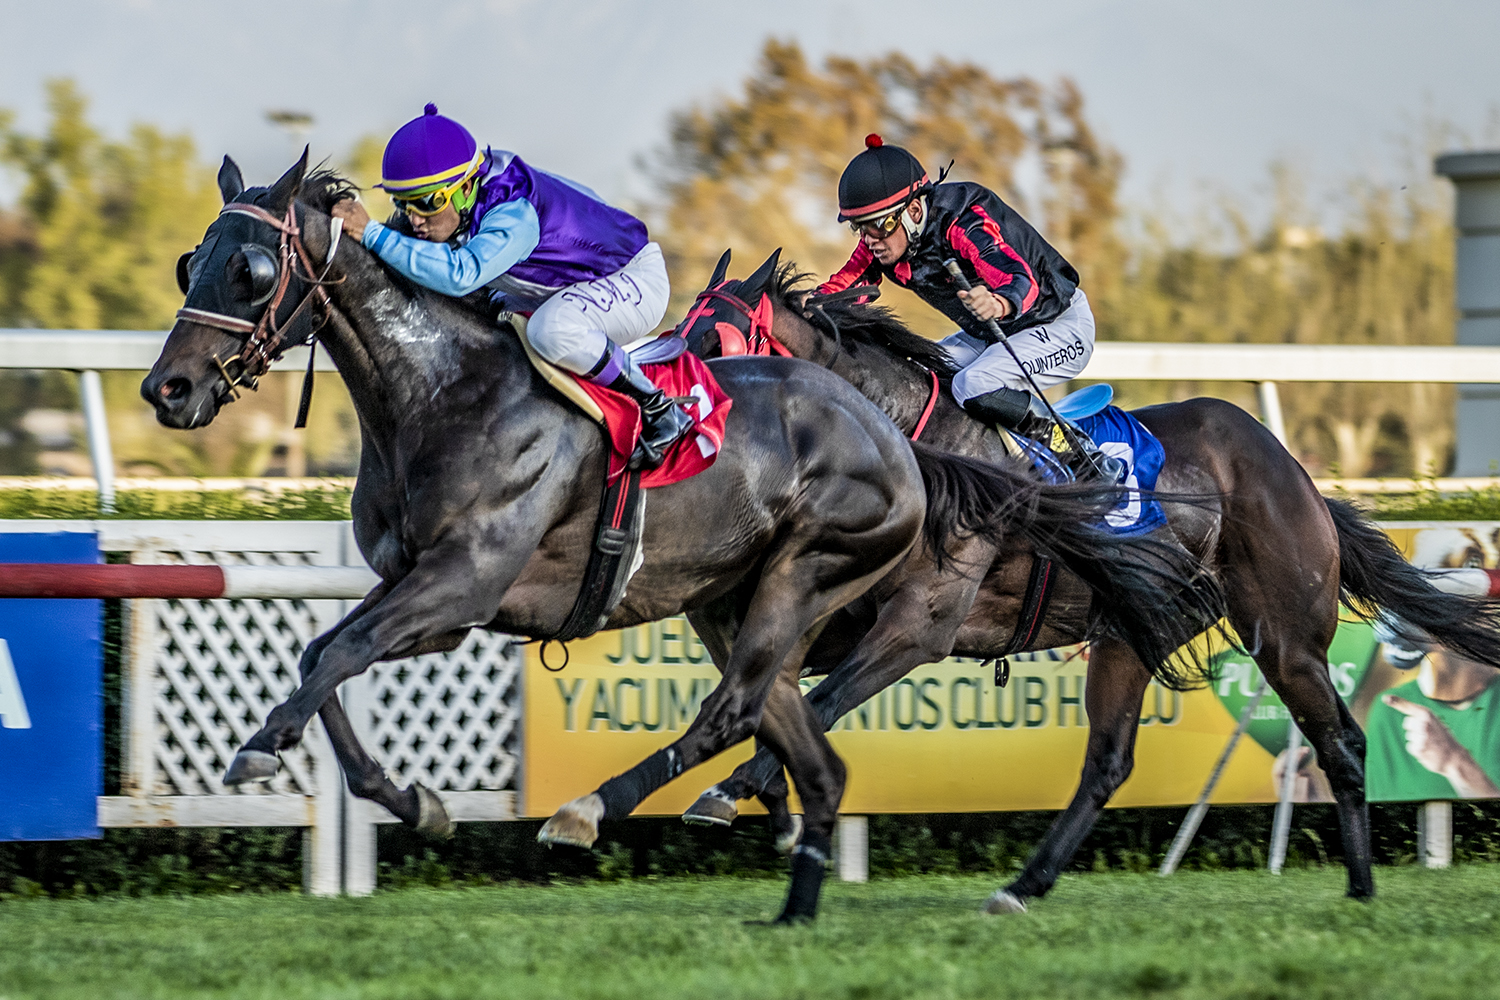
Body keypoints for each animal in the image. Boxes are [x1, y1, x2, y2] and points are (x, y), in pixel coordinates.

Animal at [138, 154, 1165, 921]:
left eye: (251, 270)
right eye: (191, 261)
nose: (168, 390)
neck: (442, 392)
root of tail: (899, 448)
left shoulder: (463, 586)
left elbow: (338, 655)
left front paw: (266, 748)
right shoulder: (416, 589)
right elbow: (323, 656)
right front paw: (409, 800)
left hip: (810, 578)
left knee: (742, 706)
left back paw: (597, 811)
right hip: (736, 600)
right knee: (783, 717)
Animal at [675, 249, 1500, 912]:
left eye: (710, 339)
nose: (678, 424)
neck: (910, 448)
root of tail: (1300, 479)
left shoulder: (917, 629)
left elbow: (822, 699)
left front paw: (732, 792)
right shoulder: (839, 618)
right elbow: (777, 688)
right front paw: (761, 798)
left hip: (1285, 638)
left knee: (1340, 743)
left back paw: (1360, 888)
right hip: (1132, 632)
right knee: (1107, 763)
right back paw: (1021, 886)